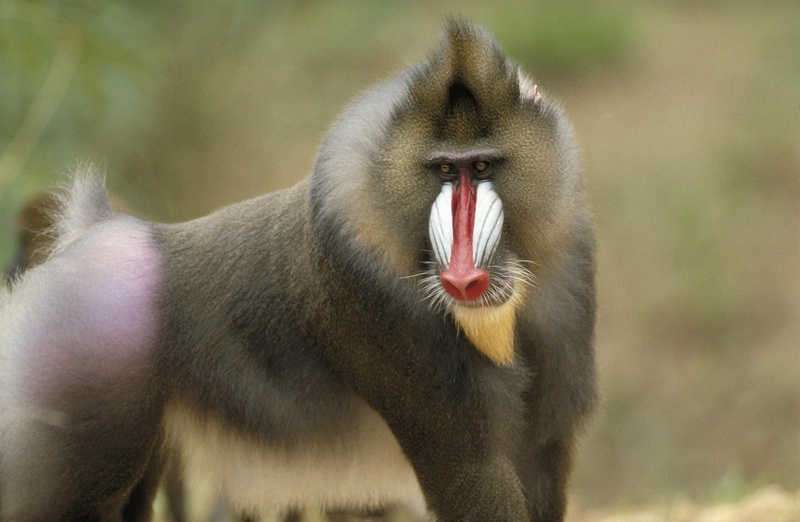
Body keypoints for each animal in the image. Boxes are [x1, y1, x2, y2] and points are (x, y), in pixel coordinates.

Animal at [0, 19, 596, 522]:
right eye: (445, 171)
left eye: (484, 166)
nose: (463, 278)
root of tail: (100, 233)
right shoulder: (388, 326)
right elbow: (472, 475)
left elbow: (540, 458)